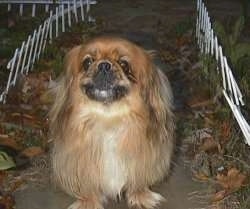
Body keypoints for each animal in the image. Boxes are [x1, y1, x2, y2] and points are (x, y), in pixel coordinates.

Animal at [48, 36, 174, 209]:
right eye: (88, 62)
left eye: (124, 64)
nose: (104, 65)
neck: (108, 119)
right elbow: (88, 185)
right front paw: (88, 202)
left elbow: (138, 180)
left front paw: (140, 196)